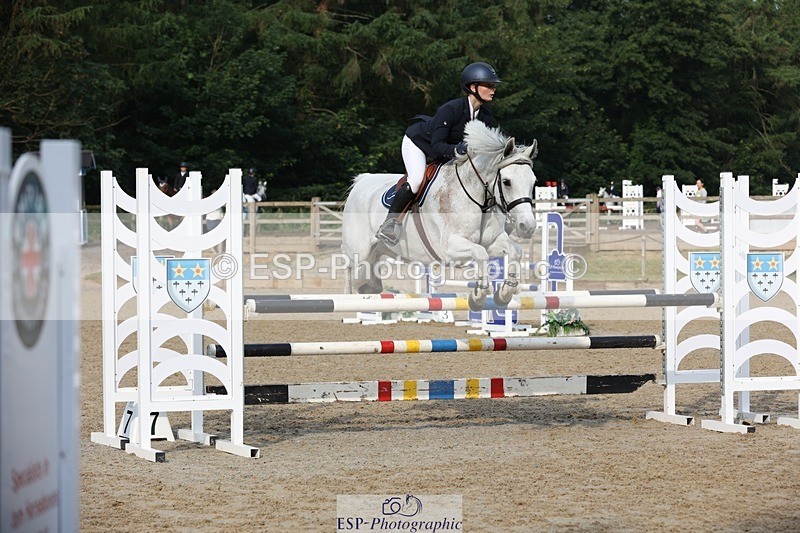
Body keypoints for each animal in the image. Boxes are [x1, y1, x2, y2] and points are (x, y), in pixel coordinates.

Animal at [341, 120, 538, 310]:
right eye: (506, 182)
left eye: (534, 181)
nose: (528, 227)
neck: (479, 198)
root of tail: (362, 179)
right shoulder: (449, 248)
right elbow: (480, 253)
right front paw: (478, 296)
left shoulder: (492, 241)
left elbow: (515, 250)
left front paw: (504, 293)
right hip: (359, 252)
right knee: (349, 272)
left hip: (378, 252)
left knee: (370, 283)